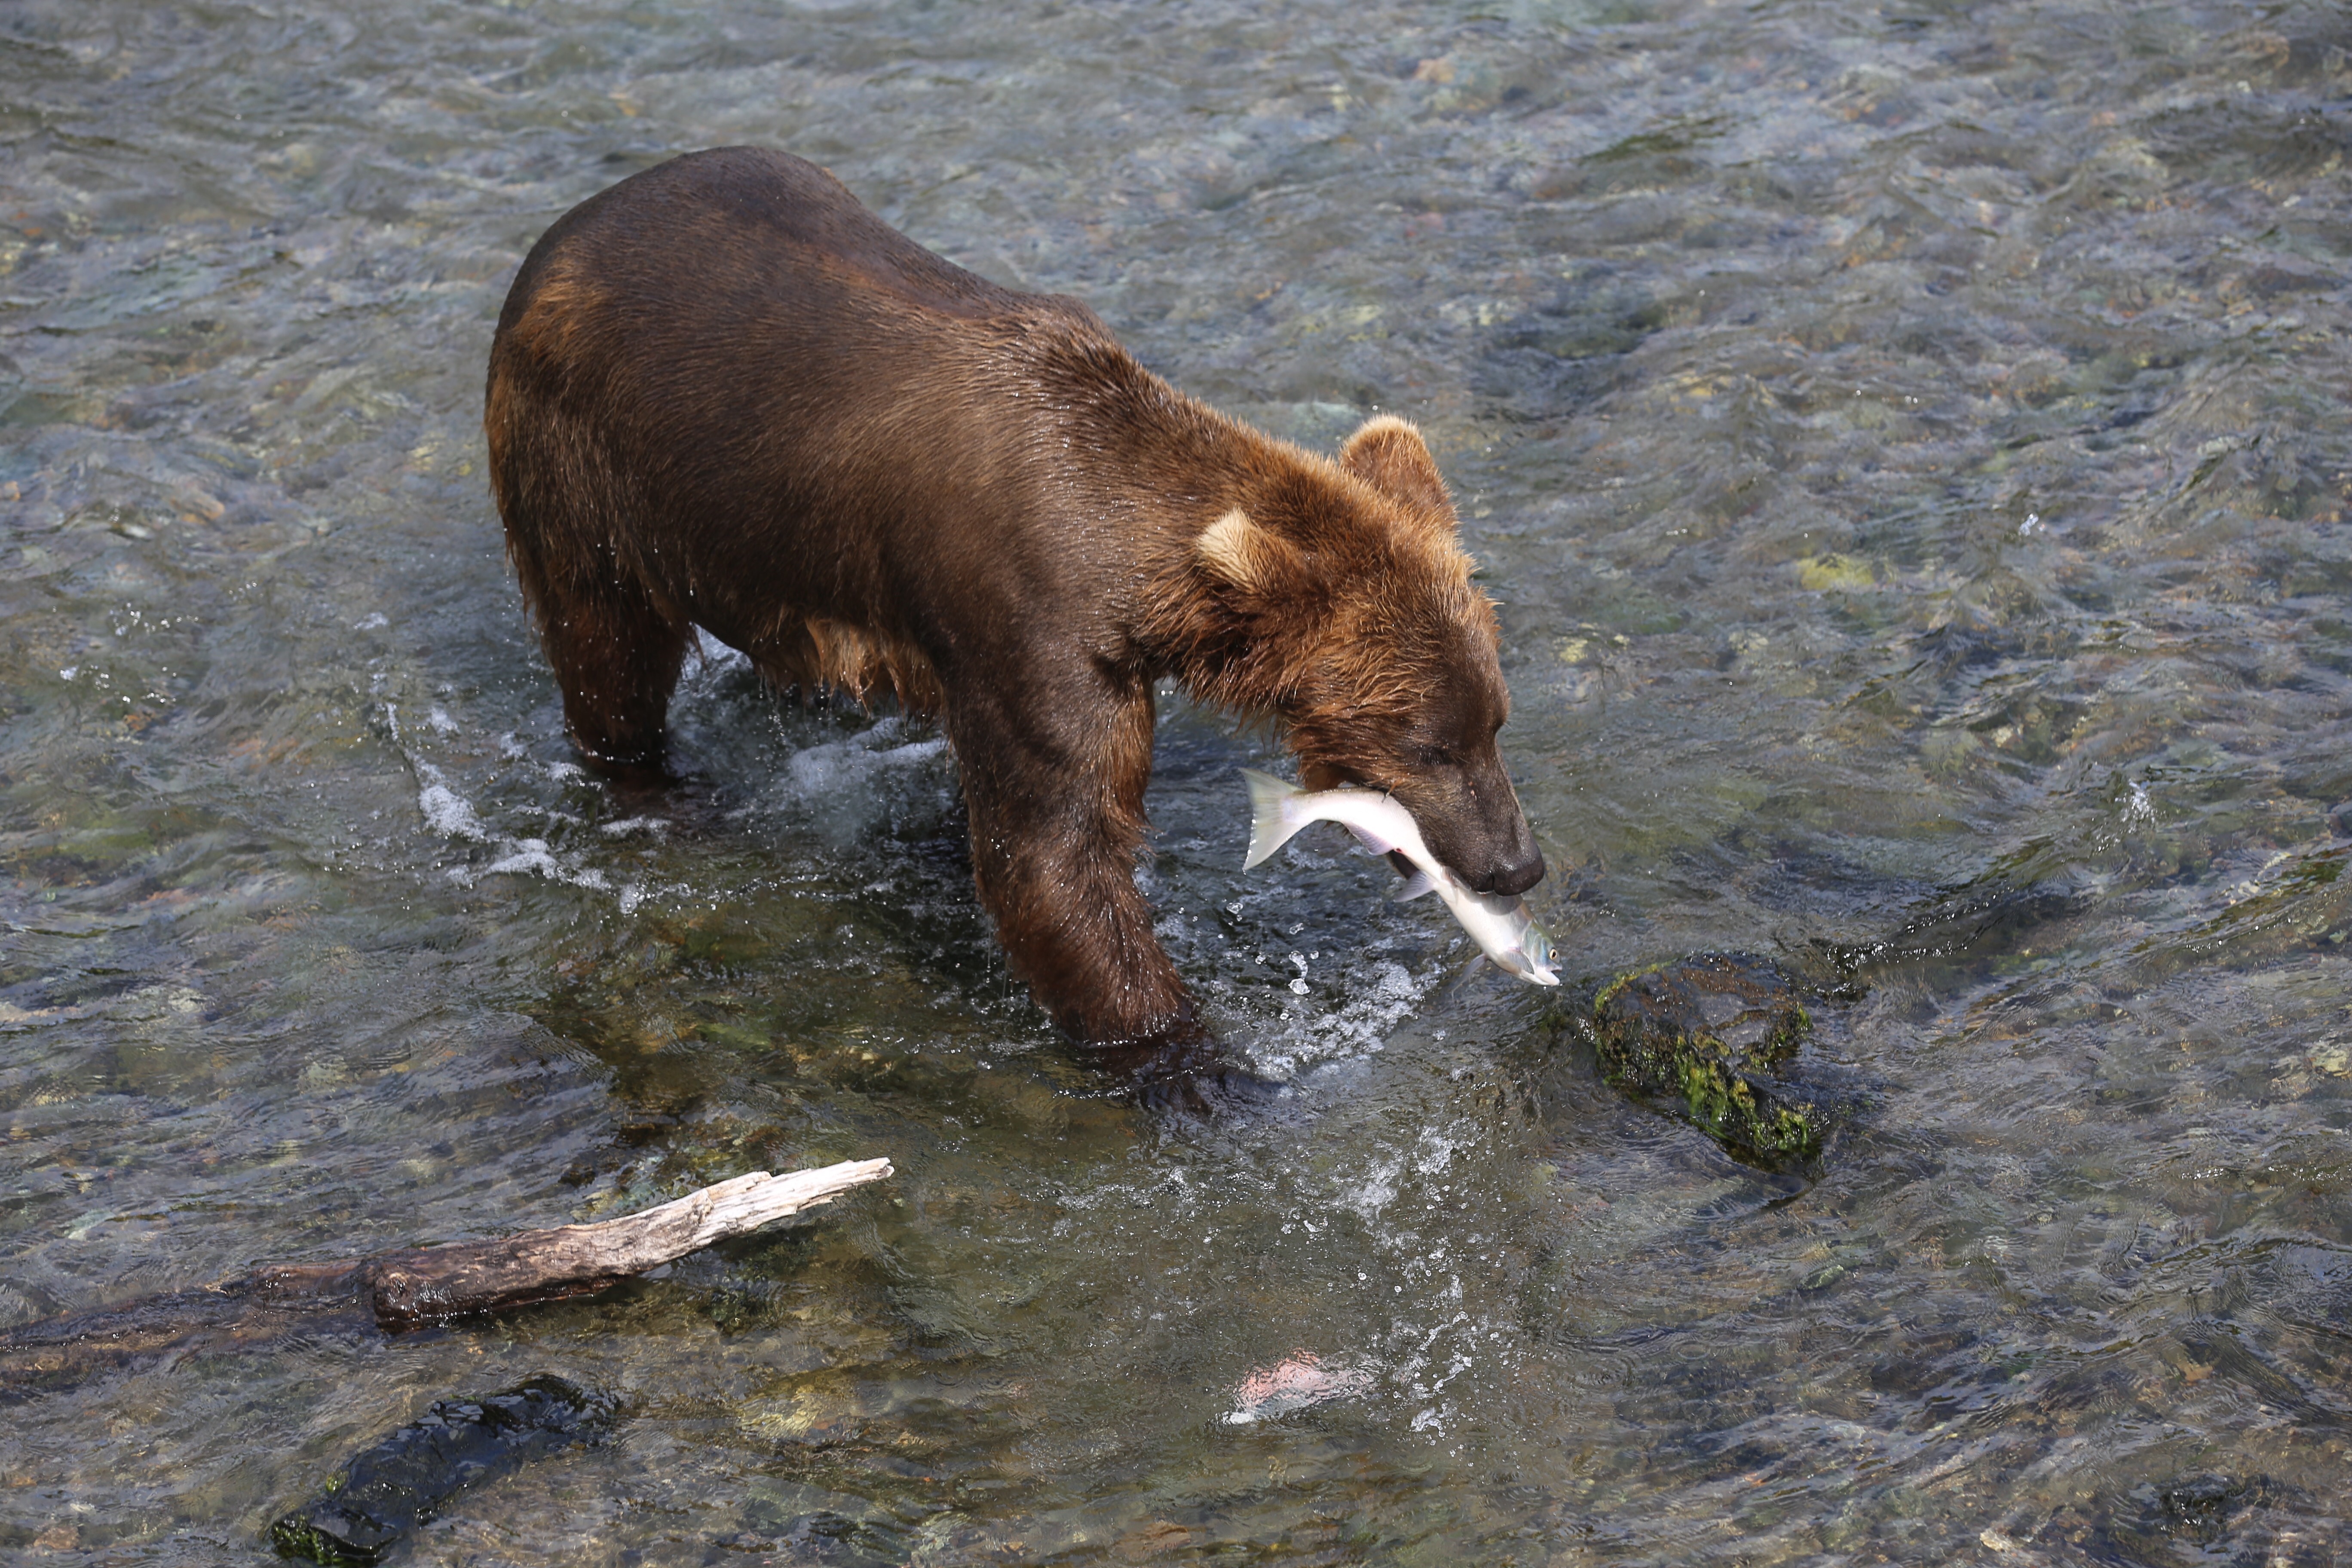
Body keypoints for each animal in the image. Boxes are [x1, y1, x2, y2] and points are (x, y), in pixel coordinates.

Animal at [482, 147, 1543, 1090]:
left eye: (1493, 722)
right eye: (1426, 741)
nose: (1516, 864)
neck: (1129, 559)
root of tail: (574, 225)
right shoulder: (1035, 633)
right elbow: (1053, 858)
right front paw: (1195, 1061)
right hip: (582, 472)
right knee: (606, 652)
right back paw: (656, 790)